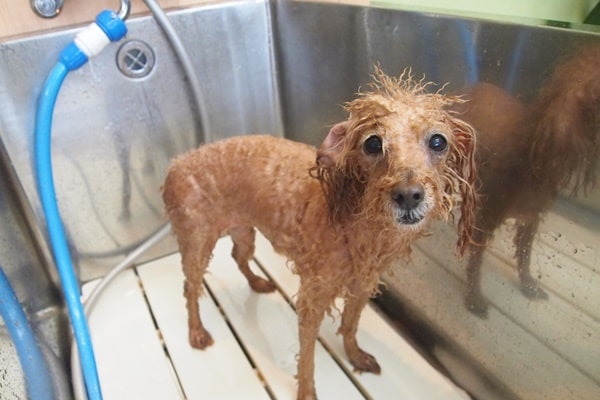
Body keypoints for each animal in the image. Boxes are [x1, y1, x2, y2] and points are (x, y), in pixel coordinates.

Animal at [162, 69, 477, 399]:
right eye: (372, 143)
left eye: (438, 141)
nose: (408, 195)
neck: (356, 224)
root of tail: (176, 163)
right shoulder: (313, 297)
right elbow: (308, 355)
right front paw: (306, 390)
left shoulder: (362, 286)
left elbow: (350, 326)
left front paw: (356, 356)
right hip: (197, 242)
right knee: (190, 288)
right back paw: (196, 332)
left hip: (243, 229)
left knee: (239, 255)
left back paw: (258, 282)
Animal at [457, 45, 600, 317]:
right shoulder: (488, 217)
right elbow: (475, 261)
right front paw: (473, 298)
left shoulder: (531, 218)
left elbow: (524, 255)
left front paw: (528, 285)